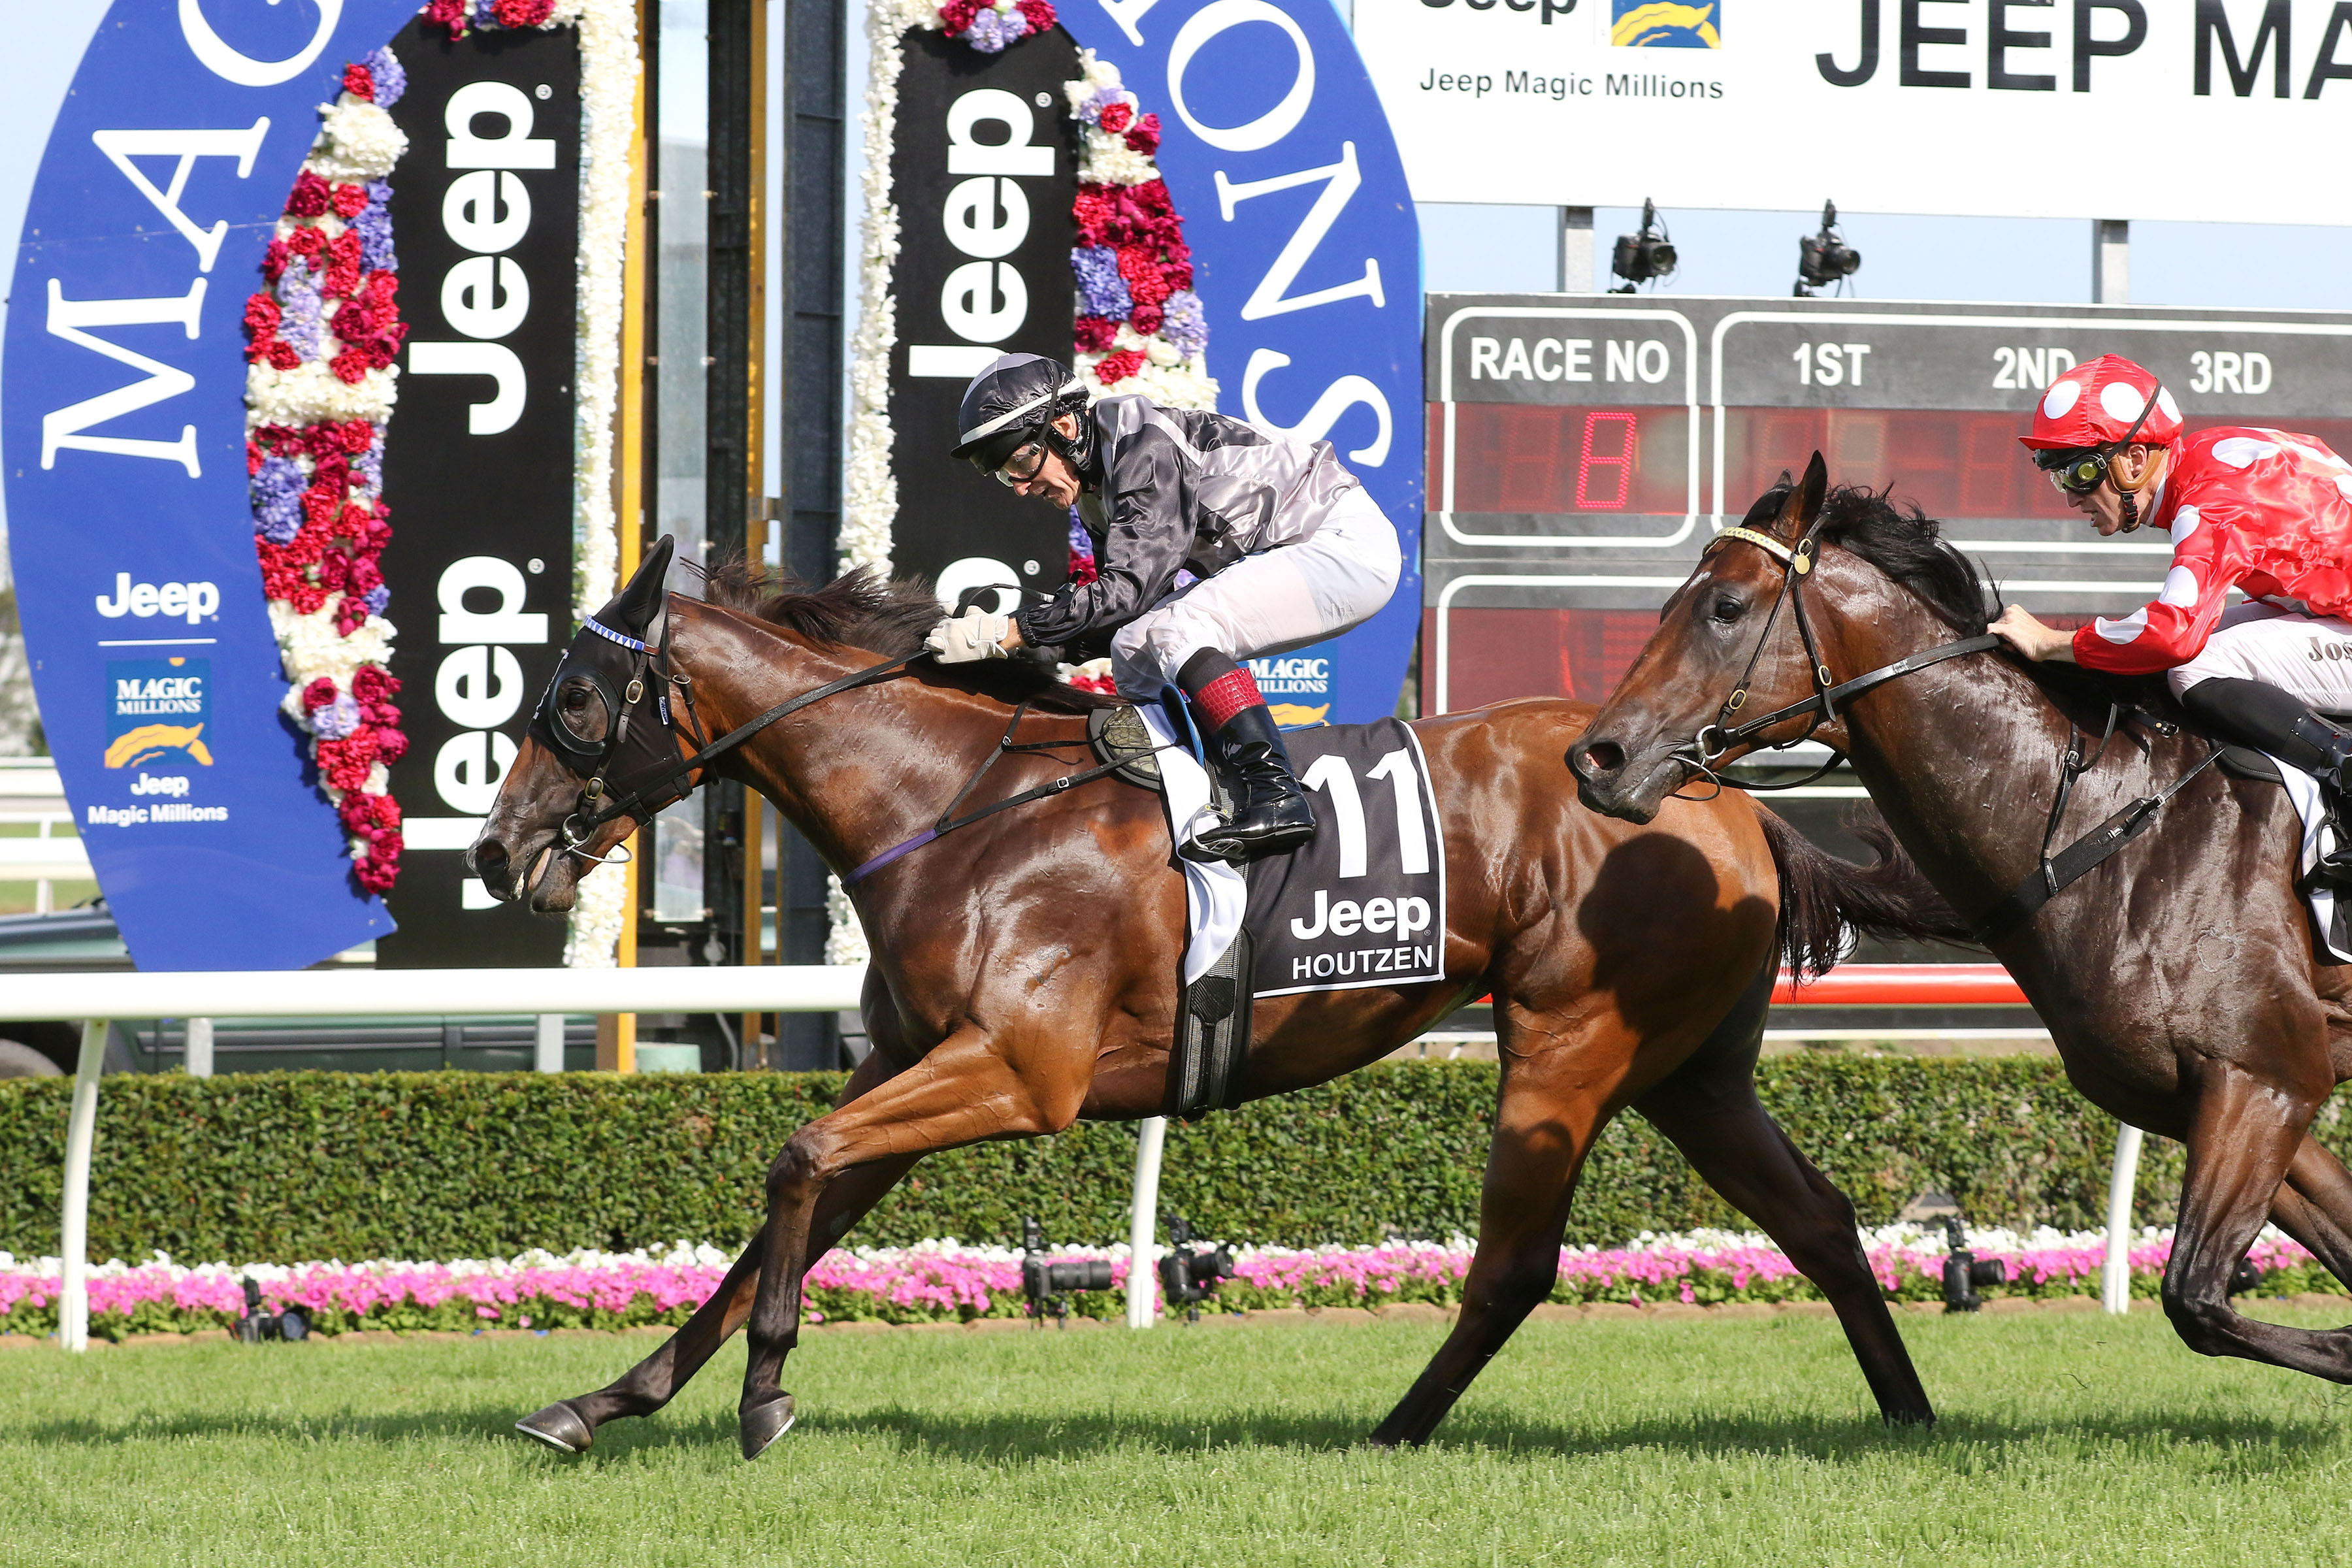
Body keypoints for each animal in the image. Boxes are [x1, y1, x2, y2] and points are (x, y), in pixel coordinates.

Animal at [470, 543, 1949, 1458]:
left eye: (579, 701)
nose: (494, 852)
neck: (951, 807)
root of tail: (1723, 792)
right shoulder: (910, 1061)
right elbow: (784, 1211)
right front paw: (603, 1401)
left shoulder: (1018, 1072)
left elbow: (794, 1162)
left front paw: (765, 1399)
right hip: (1693, 1067)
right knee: (1819, 1221)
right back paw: (1909, 1412)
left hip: (1571, 1042)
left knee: (1519, 1264)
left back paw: (1397, 1431)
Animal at [1571, 453, 2352, 1384]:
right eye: (1665, 607)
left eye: (1723, 607)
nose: (1596, 758)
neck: (2103, 822)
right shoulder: (2211, 1096)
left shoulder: (2265, 1079)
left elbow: (2196, 1299)